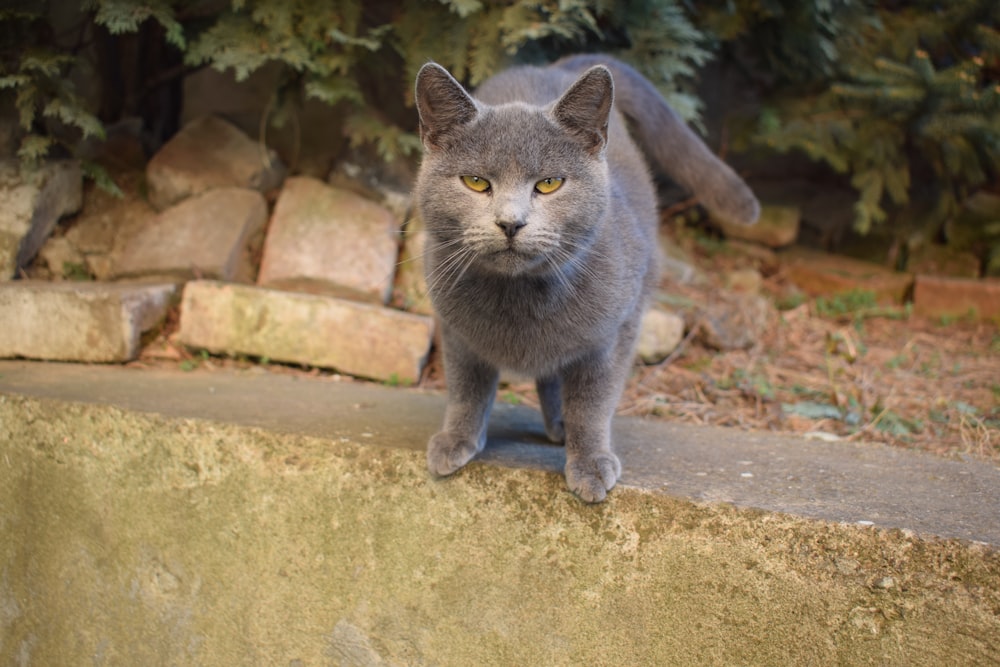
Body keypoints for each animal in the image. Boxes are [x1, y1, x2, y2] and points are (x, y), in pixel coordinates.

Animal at [414, 56, 756, 500]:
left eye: (549, 183)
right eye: (475, 182)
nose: (510, 223)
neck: (520, 297)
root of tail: (554, 65)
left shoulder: (610, 338)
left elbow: (592, 403)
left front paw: (591, 463)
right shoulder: (456, 331)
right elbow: (465, 387)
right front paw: (456, 441)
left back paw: (562, 427)